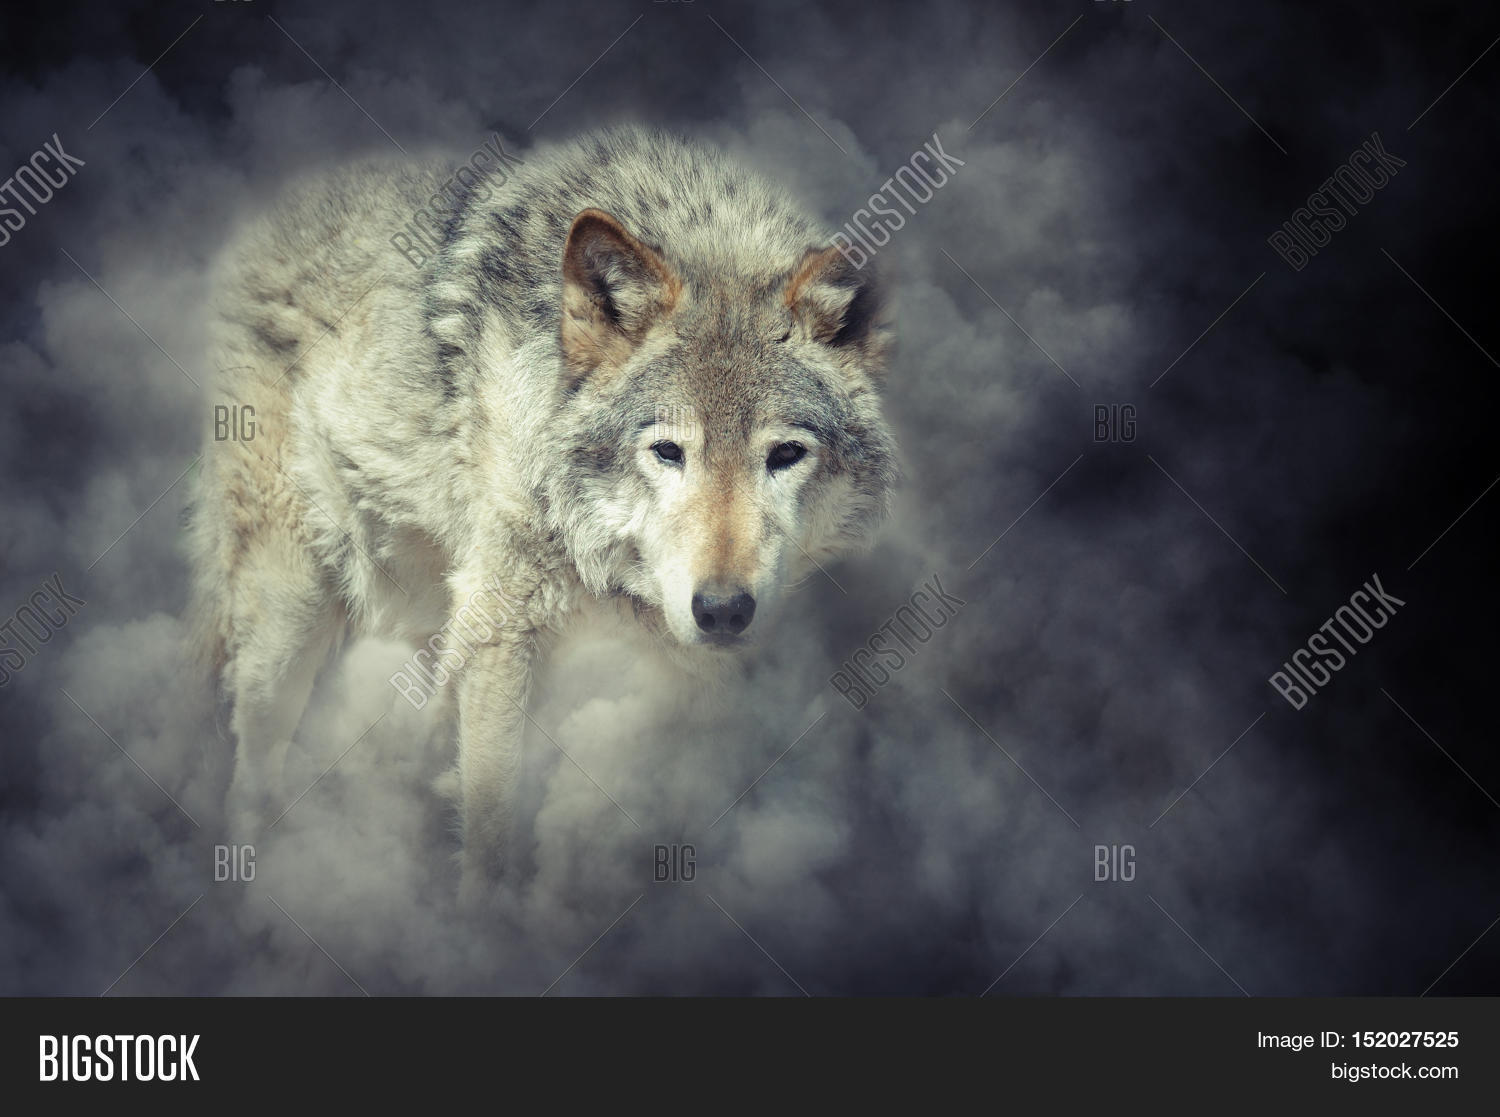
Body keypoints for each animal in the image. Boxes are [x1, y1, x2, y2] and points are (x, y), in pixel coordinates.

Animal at [187, 127, 899, 891]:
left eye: (786, 455)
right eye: (668, 451)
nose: (723, 610)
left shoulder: (688, 678)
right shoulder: (505, 634)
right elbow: (492, 831)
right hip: (293, 617)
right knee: (251, 780)